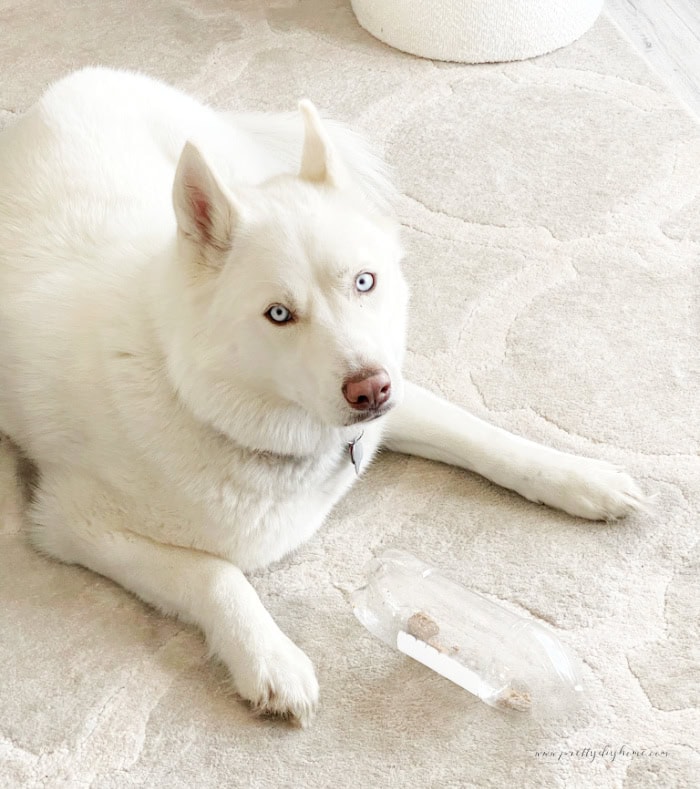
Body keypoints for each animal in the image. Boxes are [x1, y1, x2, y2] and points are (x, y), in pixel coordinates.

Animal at [0, 67, 644, 728]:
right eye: (279, 314)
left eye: (364, 281)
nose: (370, 388)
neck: (190, 393)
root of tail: (86, 77)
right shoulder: (73, 524)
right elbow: (214, 574)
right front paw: (270, 657)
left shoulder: (388, 401)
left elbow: (479, 435)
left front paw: (577, 477)